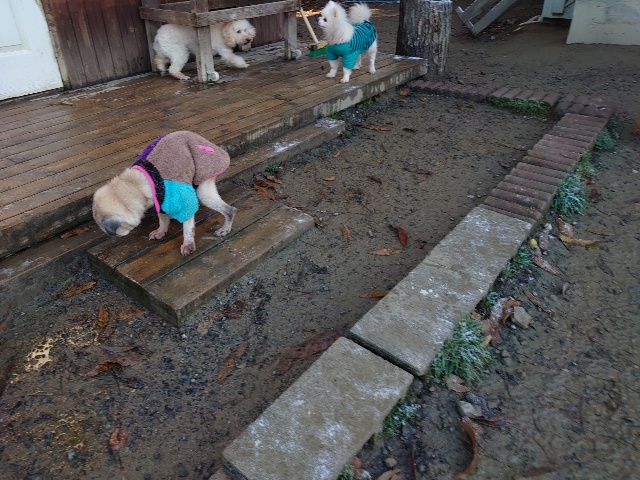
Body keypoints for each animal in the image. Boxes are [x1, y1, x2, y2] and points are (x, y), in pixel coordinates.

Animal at [92, 131, 236, 256]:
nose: (113, 235)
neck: (135, 185)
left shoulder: (177, 195)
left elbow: (188, 228)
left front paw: (188, 244)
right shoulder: (160, 200)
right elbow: (163, 219)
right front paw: (161, 231)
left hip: (203, 188)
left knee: (229, 210)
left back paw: (225, 228)